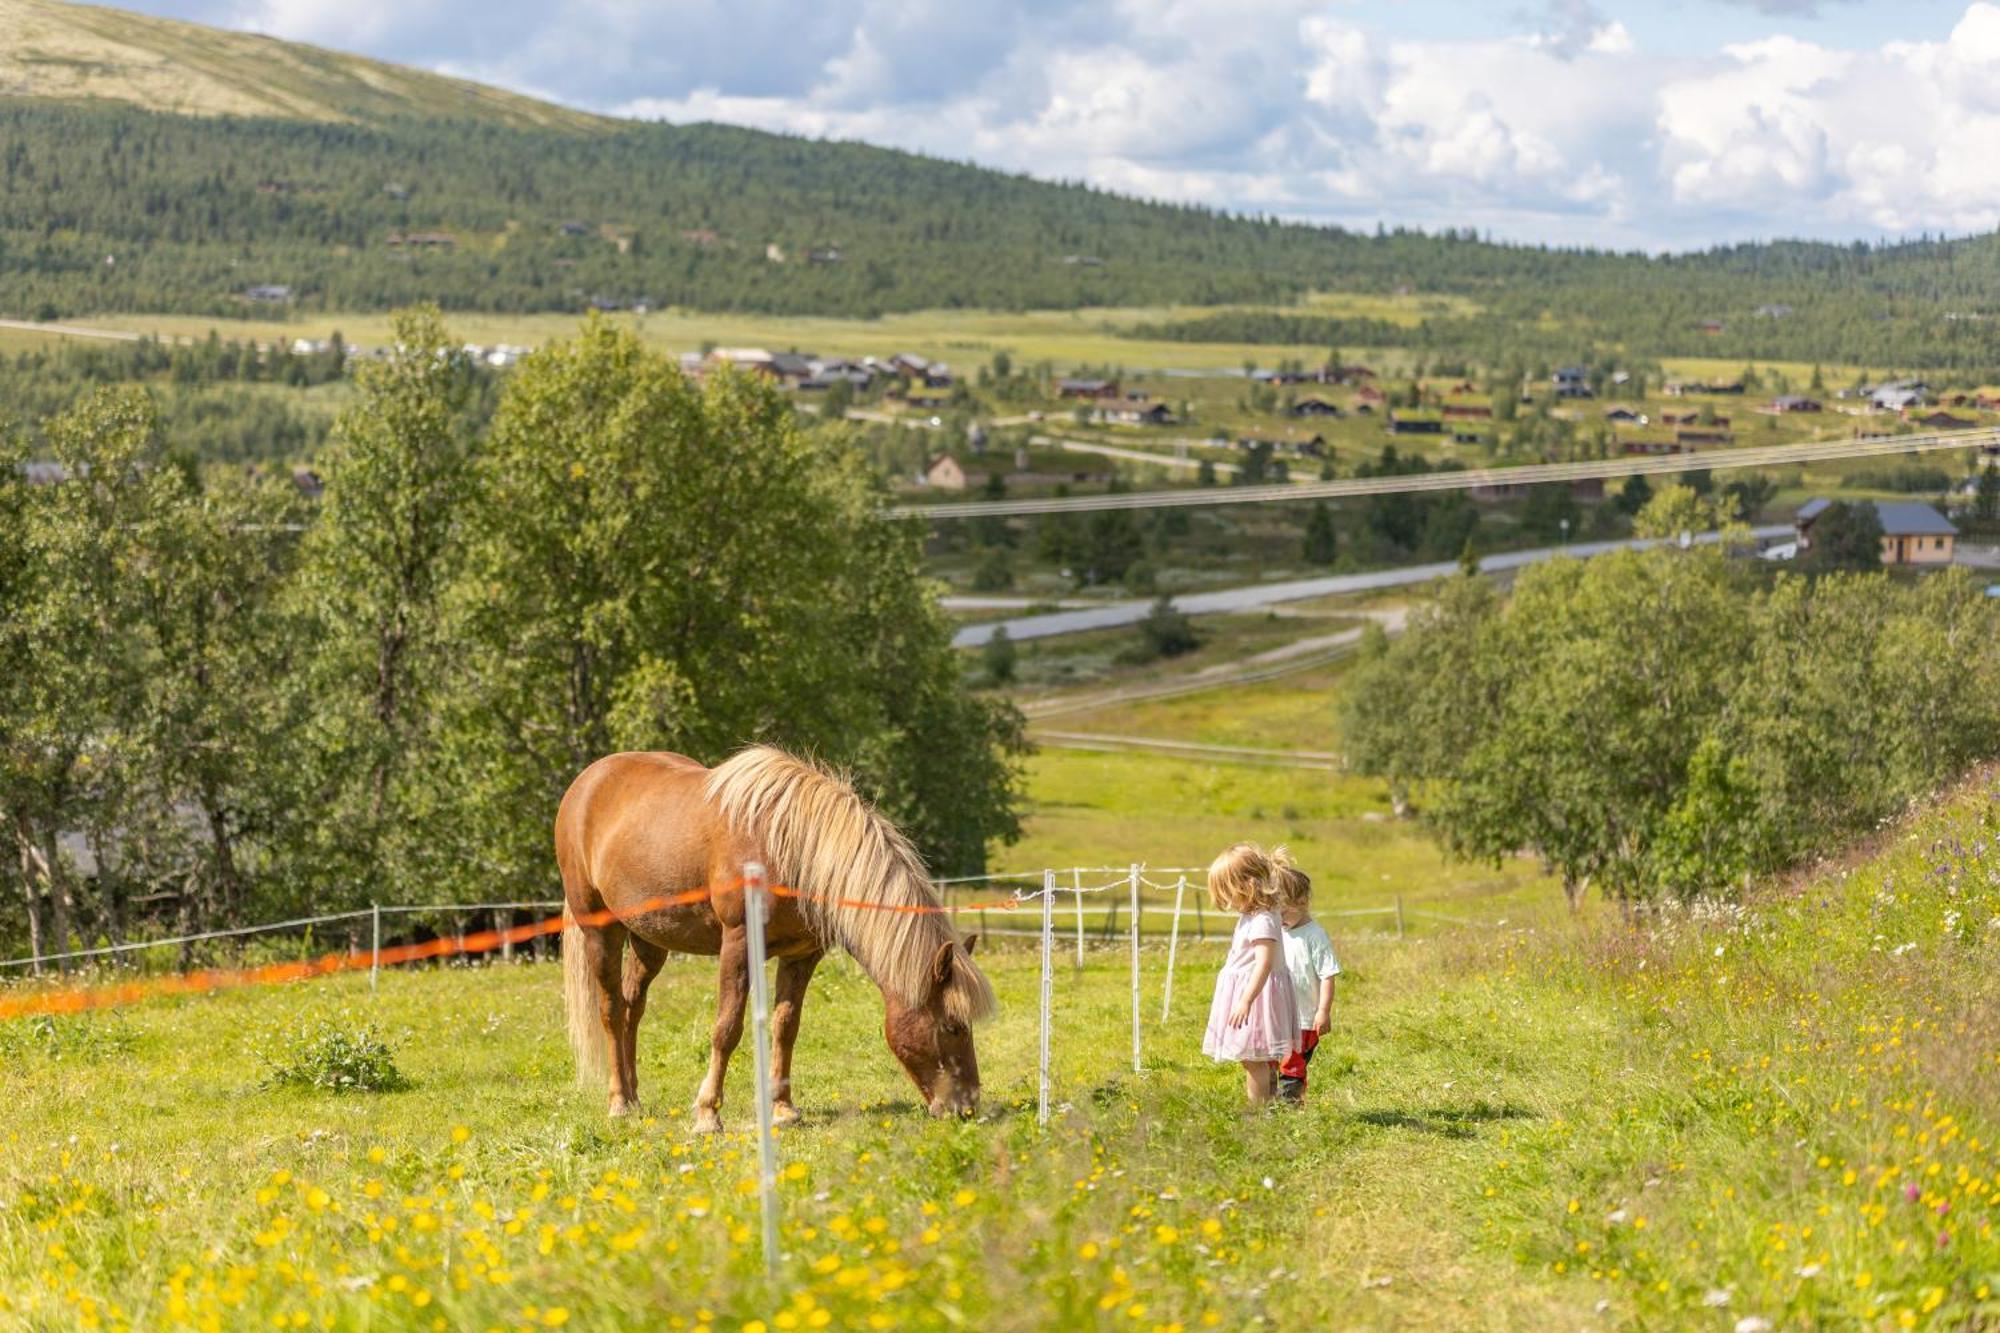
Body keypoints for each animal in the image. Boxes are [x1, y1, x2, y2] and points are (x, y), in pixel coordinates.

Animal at [552, 740, 996, 1128]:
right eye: (952, 1027)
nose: (967, 1107)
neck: (792, 848)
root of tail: (586, 782)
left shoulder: (802, 954)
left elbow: (786, 1027)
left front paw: (783, 1108)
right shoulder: (738, 944)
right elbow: (726, 1029)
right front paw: (708, 1114)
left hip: (649, 941)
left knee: (633, 1008)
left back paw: (634, 1097)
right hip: (600, 930)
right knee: (611, 1010)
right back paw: (618, 1103)